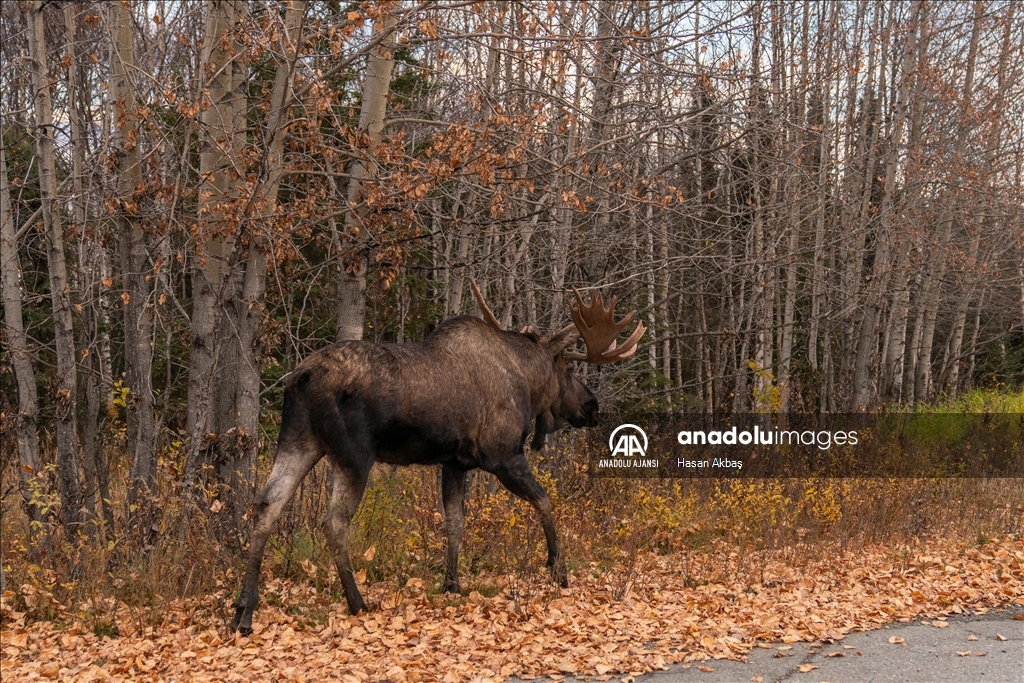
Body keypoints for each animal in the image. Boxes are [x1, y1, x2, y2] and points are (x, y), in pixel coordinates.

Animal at [234, 282, 643, 634]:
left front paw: (452, 583)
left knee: (266, 505)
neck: (527, 382)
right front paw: (558, 570)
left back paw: (243, 610)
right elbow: (543, 501)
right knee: (333, 522)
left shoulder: (454, 462)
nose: (592, 407)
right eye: (569, 369)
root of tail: (300, 377)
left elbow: (454, 522)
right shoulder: (503, 455)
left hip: (300, 440)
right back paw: (356, 602)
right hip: (354, 454)